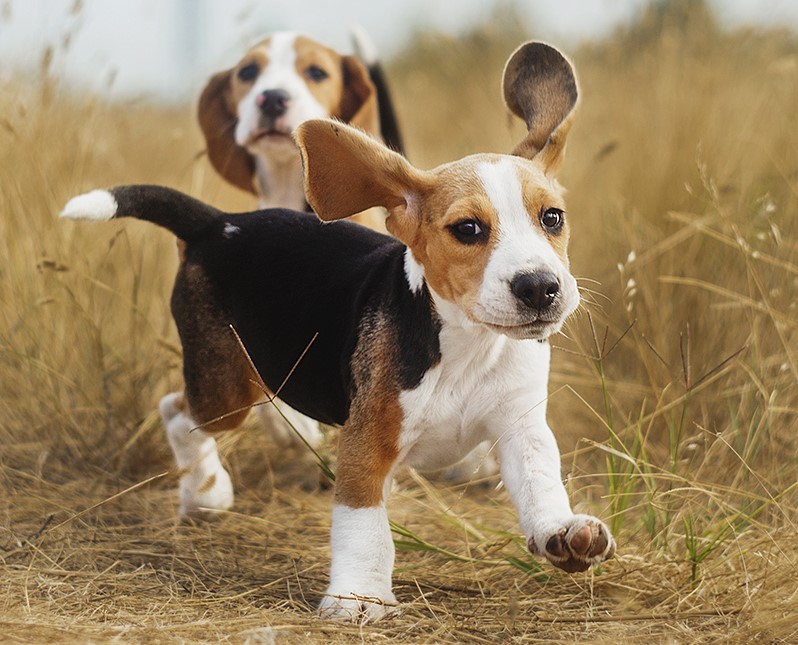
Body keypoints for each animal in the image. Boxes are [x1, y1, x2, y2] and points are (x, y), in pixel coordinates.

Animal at [62, 42, 620, 620]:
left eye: (552, 218)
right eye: (468, 229)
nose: (540, 287)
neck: (468, 345)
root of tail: (216, 223)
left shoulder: (520, 426)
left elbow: (540, 481)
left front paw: (562, 532)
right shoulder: (366, 443)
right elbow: (365, 528)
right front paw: (357, 597)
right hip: (227, 389)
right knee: (177, 410)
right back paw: (206, 492)